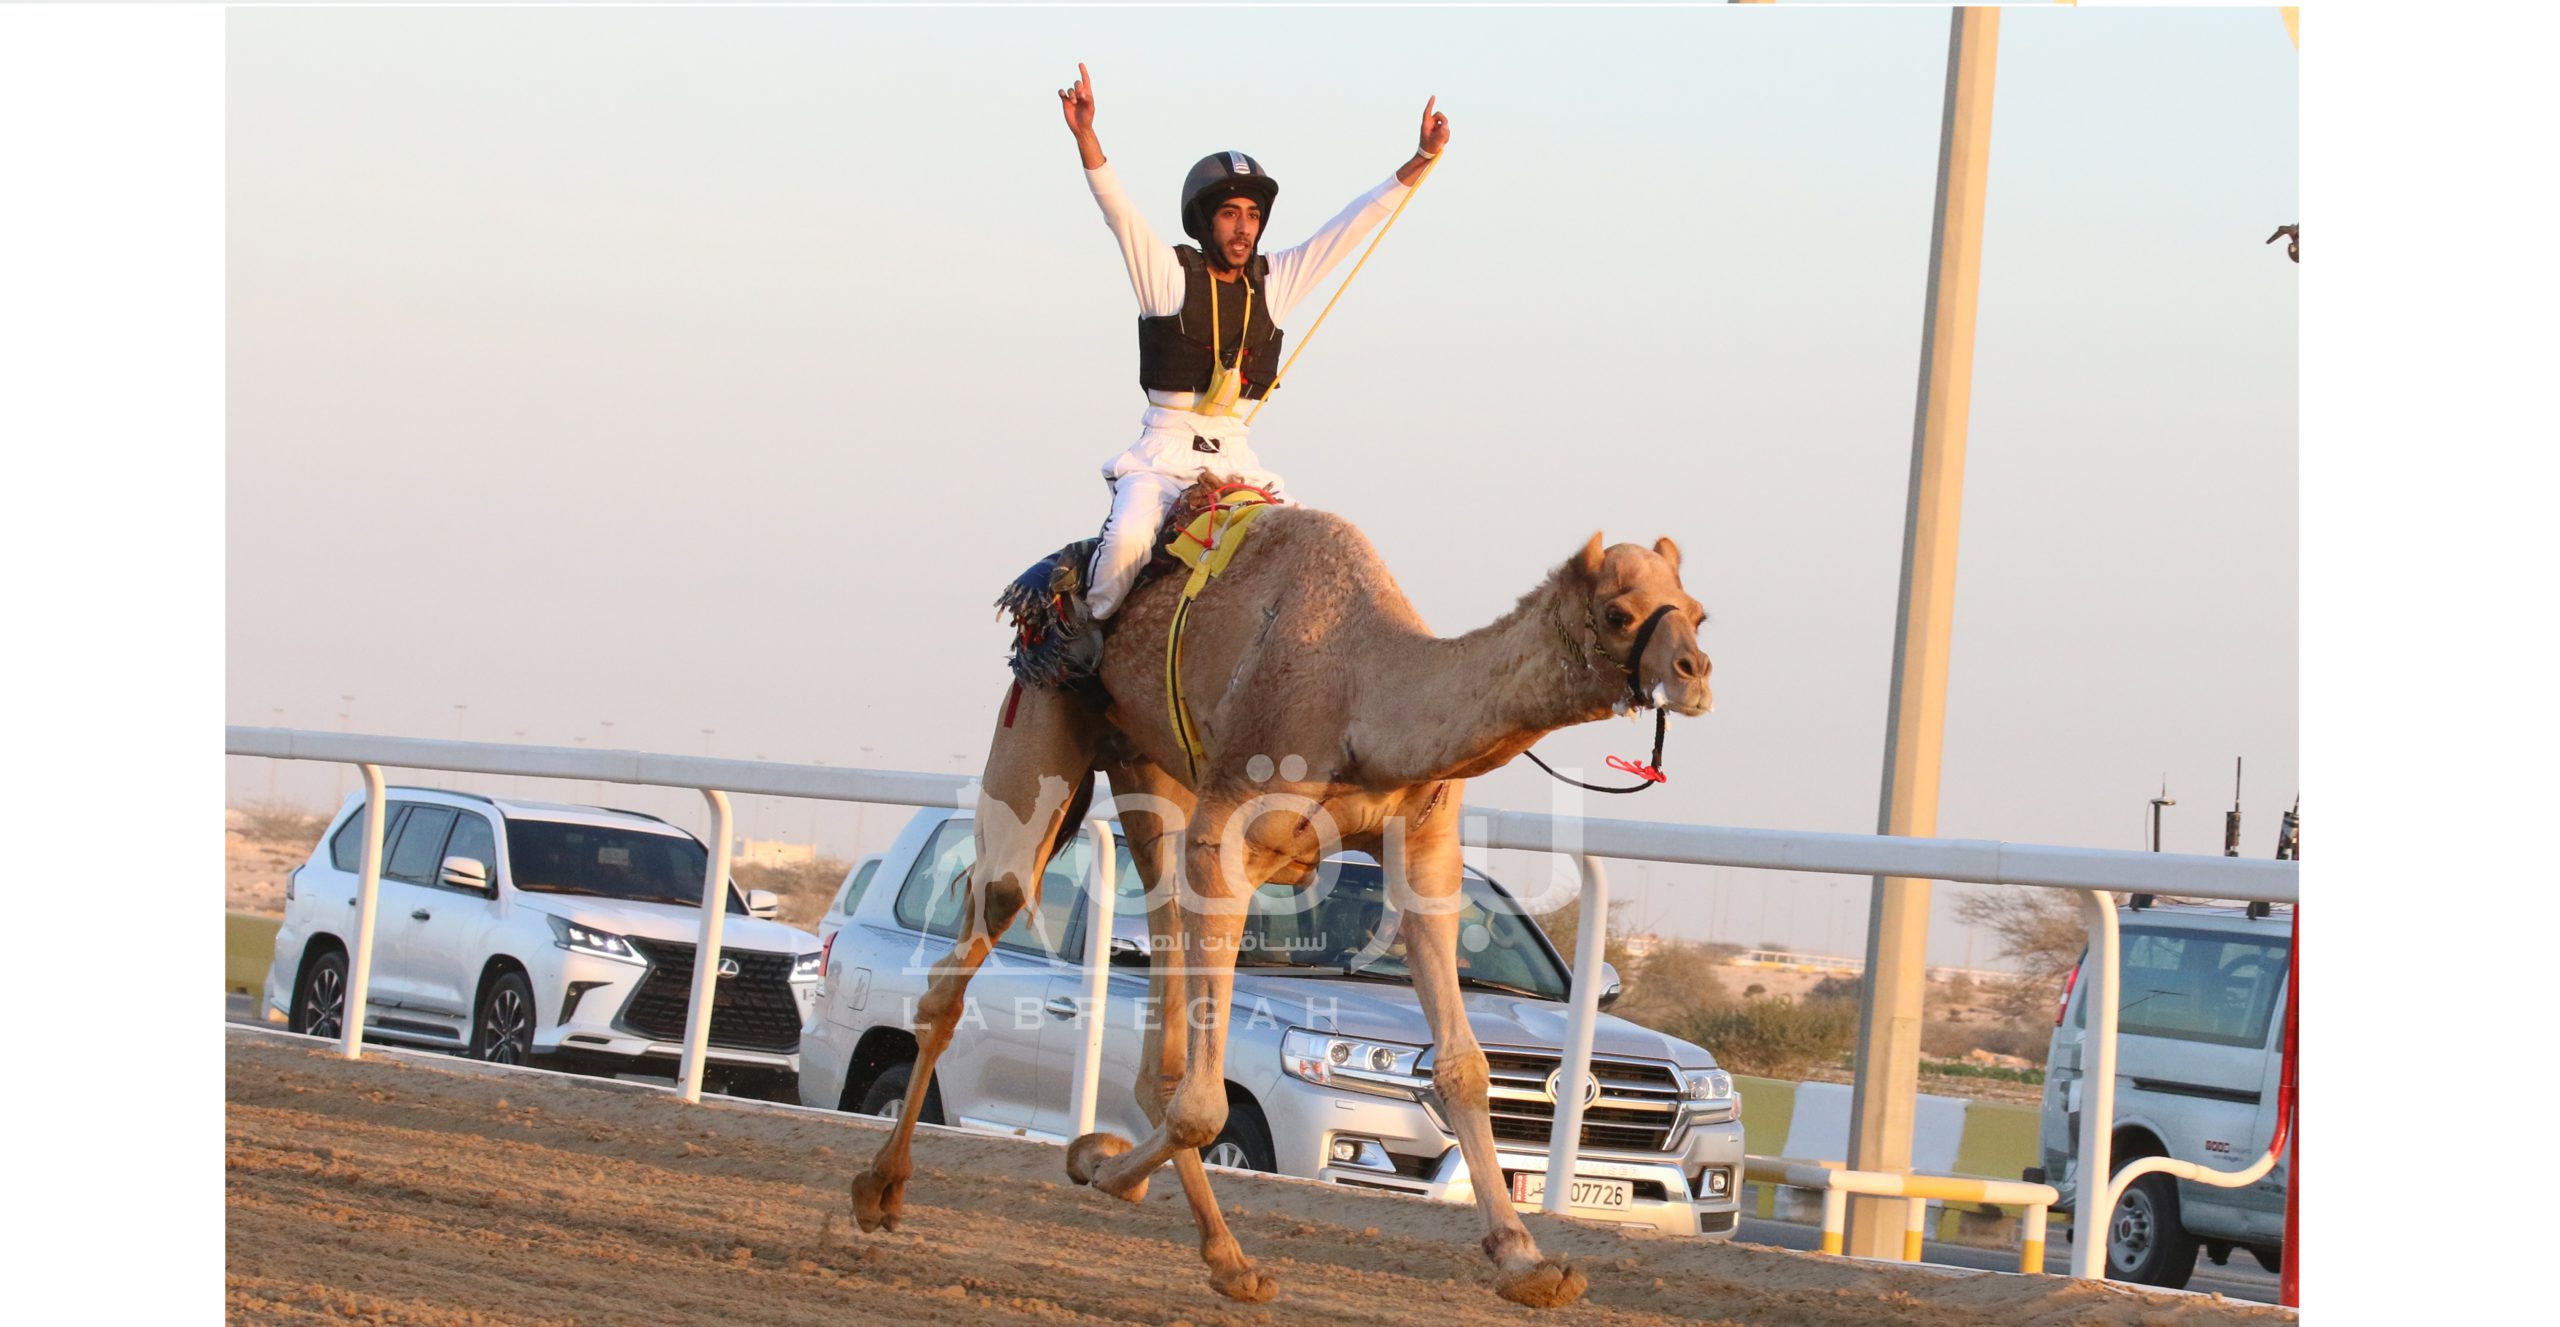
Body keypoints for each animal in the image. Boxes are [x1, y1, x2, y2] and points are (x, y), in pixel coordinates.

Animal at [849, 486, 1710, 1311]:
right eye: (1619, 612)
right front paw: (1102, 1167)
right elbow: (1206, 1104)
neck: (1363, 694)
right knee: (973, 946)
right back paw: (881, 1189)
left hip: (1147, 770)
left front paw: (1529, 1261)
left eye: (1697, 610)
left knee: (1156, 998)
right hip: (1045, 719)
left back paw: (1225, 1256)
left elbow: (1463, 1066)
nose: (1696, 671)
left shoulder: (1423, 853)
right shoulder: (1229, 837)